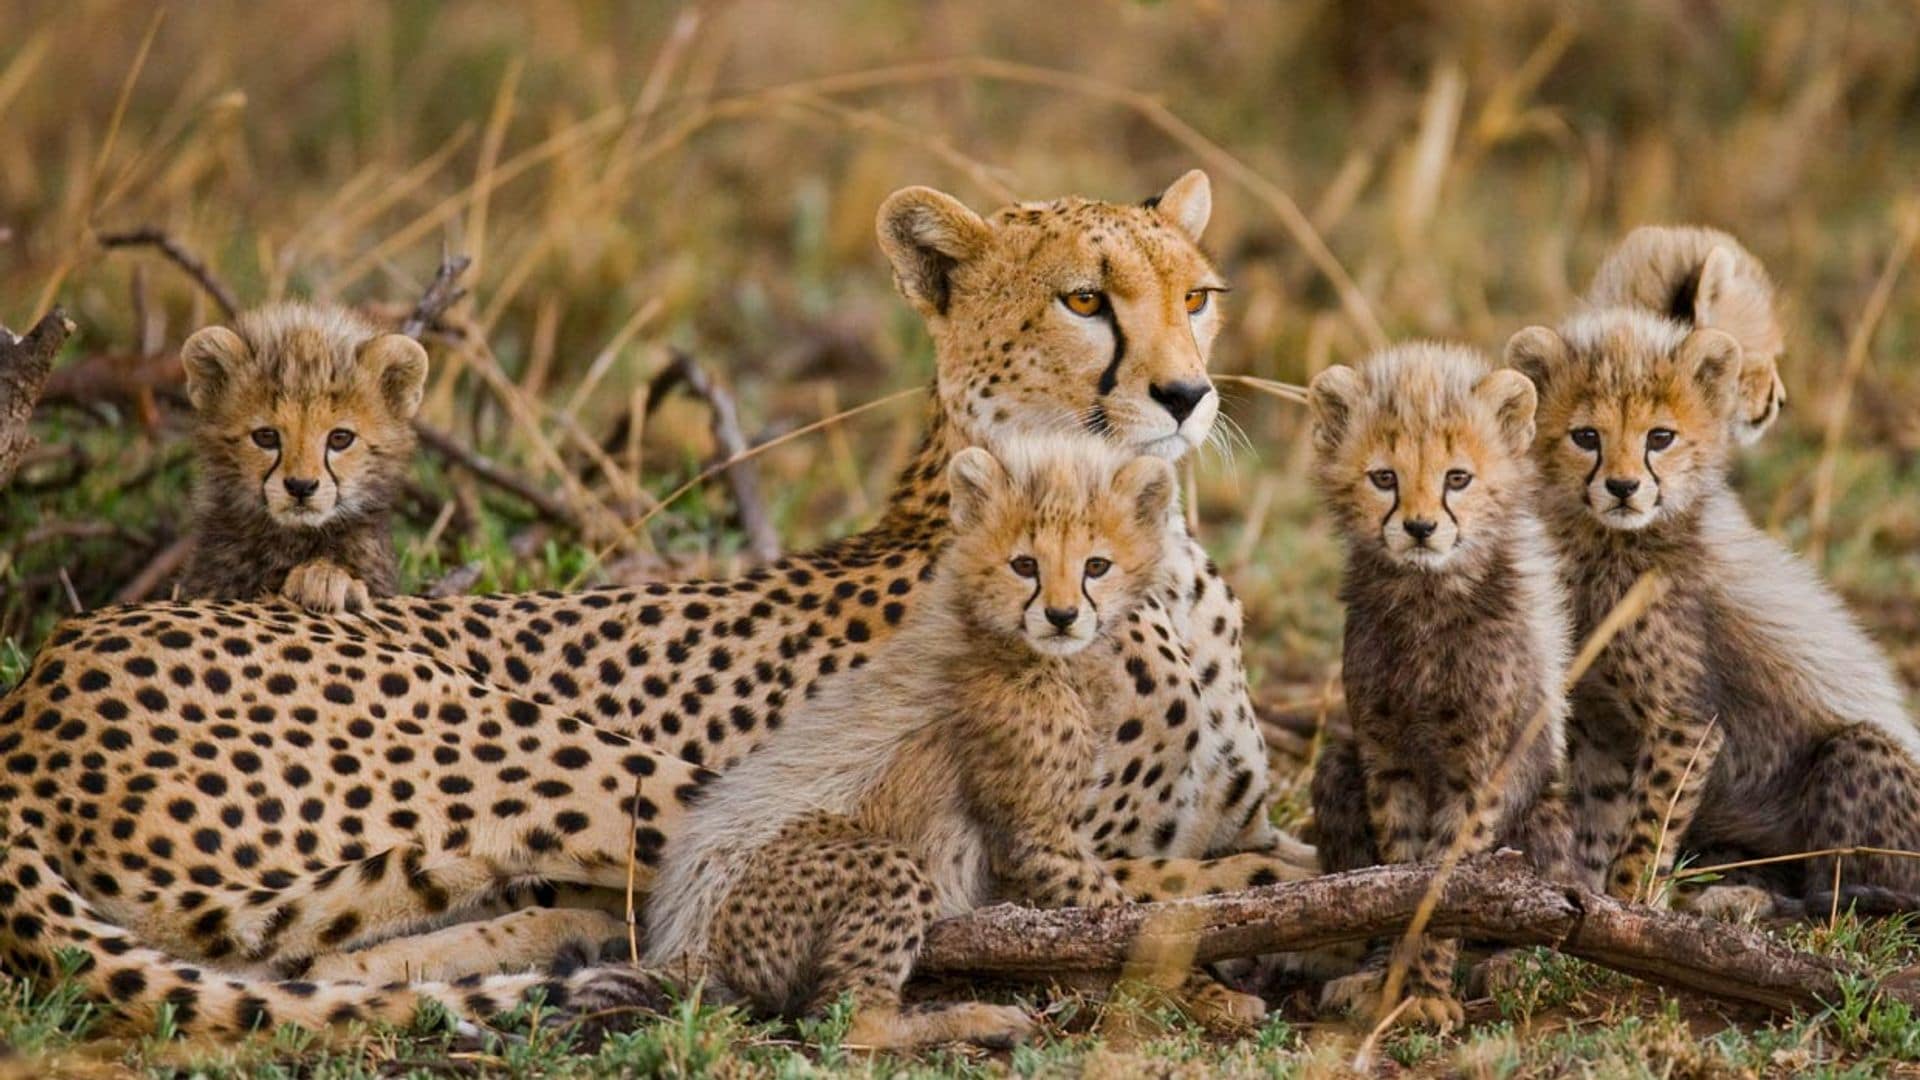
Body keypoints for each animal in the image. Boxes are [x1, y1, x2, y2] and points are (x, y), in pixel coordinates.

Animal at [0, 171, 1305, 1030]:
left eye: (1198, 296)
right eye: (1086, 301)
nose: (1187, 394)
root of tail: (46, 676)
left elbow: (1275, 847)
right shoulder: (1074, 843)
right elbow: (1221, 878)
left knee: (315, 967)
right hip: (577, 757)